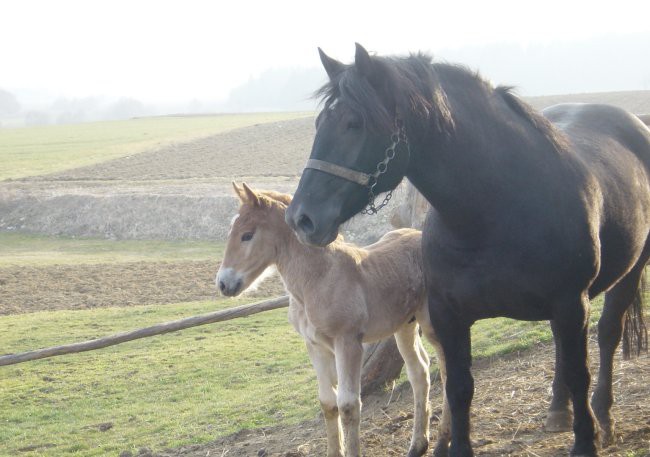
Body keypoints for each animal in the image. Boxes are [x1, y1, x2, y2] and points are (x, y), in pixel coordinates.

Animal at [286, 43, 648, 456]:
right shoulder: (449, 315)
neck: (493, 211)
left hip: (627, 275)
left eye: (354, 123)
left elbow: (579, 374)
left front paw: (586, 440)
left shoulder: (571, 303)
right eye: (319, 123)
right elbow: (458, 387)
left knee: (607, 335)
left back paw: (604, 416)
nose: (301, 218)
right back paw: (558, 410)